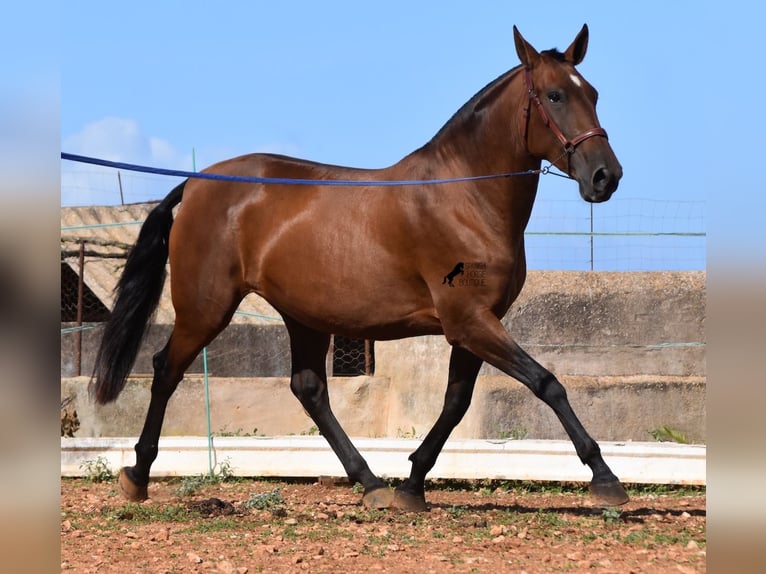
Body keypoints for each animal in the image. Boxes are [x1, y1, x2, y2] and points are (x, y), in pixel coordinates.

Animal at [91, 25, 632, 512]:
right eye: (555, 95)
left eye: (594, 94)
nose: (606, 177)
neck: (465, 196)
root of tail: (196, 184)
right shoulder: (470, 321)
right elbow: (546, 383)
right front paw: (605, 478)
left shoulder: (474, 326)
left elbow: (456, 404)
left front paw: (411, 486)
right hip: (206, 309)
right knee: (166, 369)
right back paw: (137, 476)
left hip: (302, 316)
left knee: (308, 389)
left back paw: (371, 483)